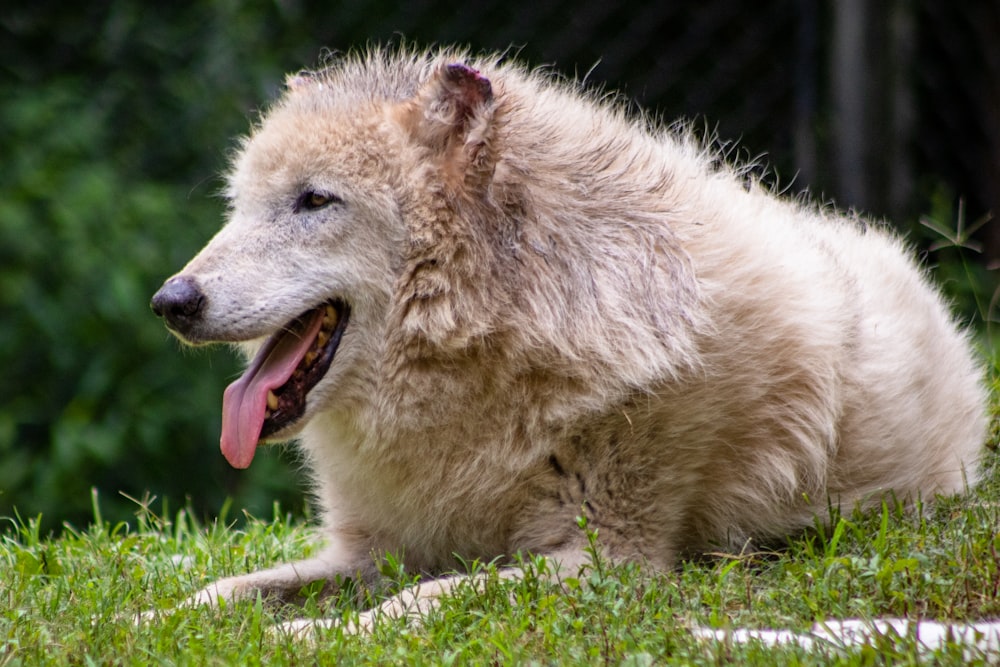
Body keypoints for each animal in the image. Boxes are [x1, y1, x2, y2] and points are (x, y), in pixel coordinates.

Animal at [148, 45, 984, 632]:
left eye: (314, 200)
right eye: (241, 206)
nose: (170, 301)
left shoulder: (608, 561)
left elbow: (414, 602)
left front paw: (310, 636)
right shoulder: (367, 553)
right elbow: (223, 589)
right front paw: (144, 618)